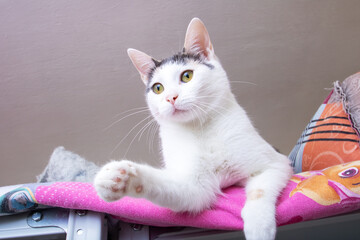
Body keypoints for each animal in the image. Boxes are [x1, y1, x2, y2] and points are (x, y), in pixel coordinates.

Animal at [94, 18, 294, 240]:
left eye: (187, 76)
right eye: (157, 88)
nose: (170, 97)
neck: (201, 128)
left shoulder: (276, 163)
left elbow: (260, 190)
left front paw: (259, 225)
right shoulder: (195, 187)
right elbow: (180, 190)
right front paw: (119, 176)